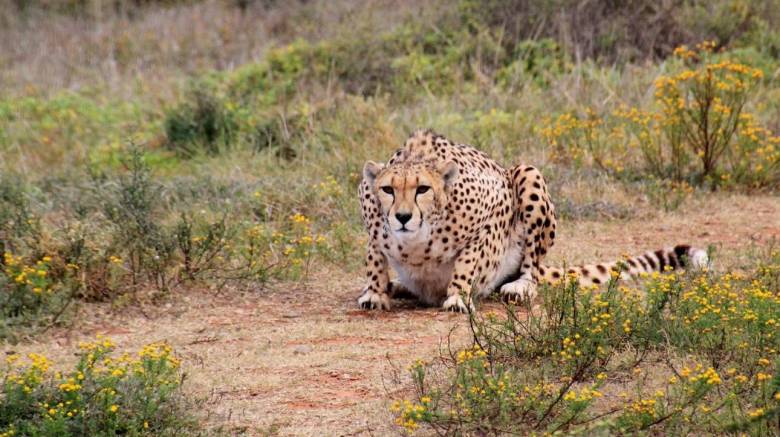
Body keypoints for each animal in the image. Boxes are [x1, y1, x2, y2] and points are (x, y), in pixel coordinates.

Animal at [356, 127, 708, 312]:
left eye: (423, 189)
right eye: (387, 189)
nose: (402, 217)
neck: (416, 241)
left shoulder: (495, 207)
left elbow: (469, 258)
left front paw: (457, 294)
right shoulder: (371, 220)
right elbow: (374, 257)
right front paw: (376, 291)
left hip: (528, 173)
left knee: (532, 266)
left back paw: (520, 286)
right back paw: (396, 286)